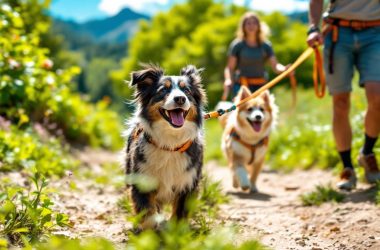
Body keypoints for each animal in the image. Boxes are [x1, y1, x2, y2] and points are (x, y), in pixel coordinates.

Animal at [124, 64, 208, 230]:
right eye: (163, 90)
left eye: (187, 91)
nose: (180, 98)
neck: (170, 143)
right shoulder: (142, 181)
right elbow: (148, 213)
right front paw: (151, 231)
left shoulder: (188, 183)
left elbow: (180, 214)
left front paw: (176, 232)